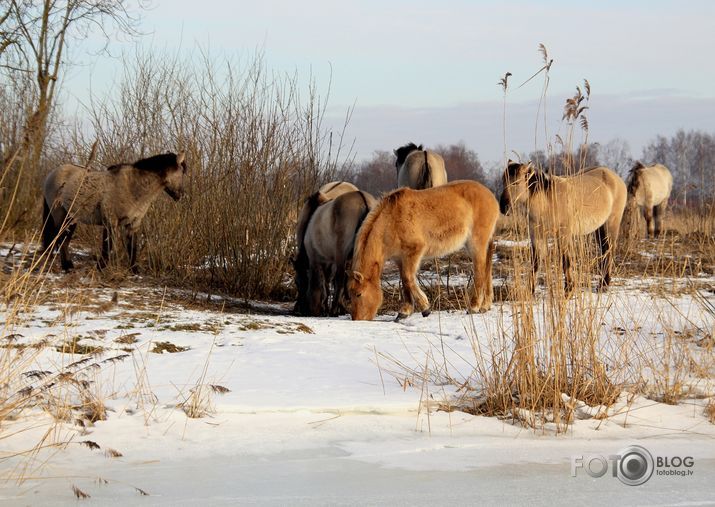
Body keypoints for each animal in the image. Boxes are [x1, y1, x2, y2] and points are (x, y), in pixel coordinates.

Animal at [41, 152, 187, 274]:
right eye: (182, 173)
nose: (181, 196)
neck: (132, 187)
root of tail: (52, 174)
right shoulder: (110, 221)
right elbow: (107, 247)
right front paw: (100, 268)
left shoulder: (133, 224)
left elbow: (132, 248)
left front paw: (135, 271)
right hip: (60, 216)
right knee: (60, 239)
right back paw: (67, 267)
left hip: (71, 218)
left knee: (64, 241)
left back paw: (69, 267)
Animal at [304, 190, 380, 318]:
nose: (308, 311)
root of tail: (361, 196)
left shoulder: (319, 261)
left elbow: (326, 284)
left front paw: (327, 308)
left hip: (340, 256)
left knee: (339, 281)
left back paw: (334, 309)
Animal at [346, 181, 498, 320]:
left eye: (359, 294)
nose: (357, 320)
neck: (392, 220)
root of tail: (491, 197)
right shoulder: (400, 259)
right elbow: (404, 281)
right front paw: (405, 311)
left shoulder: (413, 252)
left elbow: (408, 278)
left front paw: (425, 308)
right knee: (487, 268)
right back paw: (485, 305)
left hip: (476, 244)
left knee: (480, 271)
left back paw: (474, 307)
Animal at [498, 161, 628, 292]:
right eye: (503, 181)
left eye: (516, 183)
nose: (504, 207)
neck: (547, 201)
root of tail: (616, 178)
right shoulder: (537, 234)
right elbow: (535, 262)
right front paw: (531, 290)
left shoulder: (563, 234)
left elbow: (565, 260)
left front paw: (569, 288)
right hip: (599, 228)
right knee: (604, 251)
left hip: (610, 225)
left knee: (609, 251)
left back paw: (604, 284)